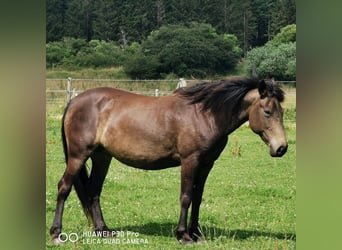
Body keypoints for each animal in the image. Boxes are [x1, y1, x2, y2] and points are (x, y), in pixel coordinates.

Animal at [49, 77, 288, 244]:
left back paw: (103, 231)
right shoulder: (190, 161)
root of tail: (74, 101)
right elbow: (186, 197)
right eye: (267, 111)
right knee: (64, 187)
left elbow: (197, 198)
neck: (205, 115)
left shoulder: (206, 164)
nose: (281, 148)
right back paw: (56, 233)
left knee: (93, 192)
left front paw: (196, 233)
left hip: (102, 157)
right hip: (78, 156)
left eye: (282, 112)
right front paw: (183, 235)